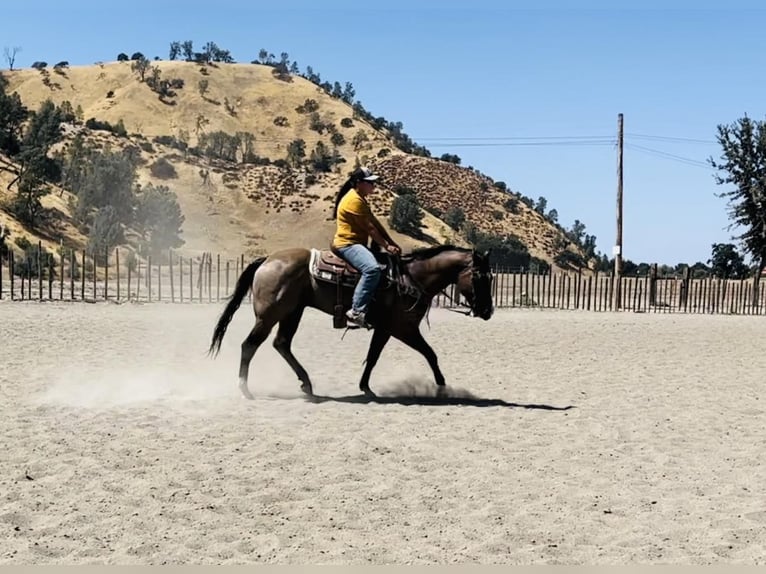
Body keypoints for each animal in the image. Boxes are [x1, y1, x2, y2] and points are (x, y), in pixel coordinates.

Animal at [208, 245, 498, 402]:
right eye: (480, 277)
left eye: (492, 277)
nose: (487, 311)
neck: (412, 277)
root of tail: (267, 260)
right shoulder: (404, 328)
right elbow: (430, 354)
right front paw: (442, 389)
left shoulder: (385, 329)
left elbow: (373, 357)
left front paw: (365, 388)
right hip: (269, 315)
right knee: (250, 345)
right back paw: (245, 389)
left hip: (292, 312)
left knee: (281, 344)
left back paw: (307, 385)